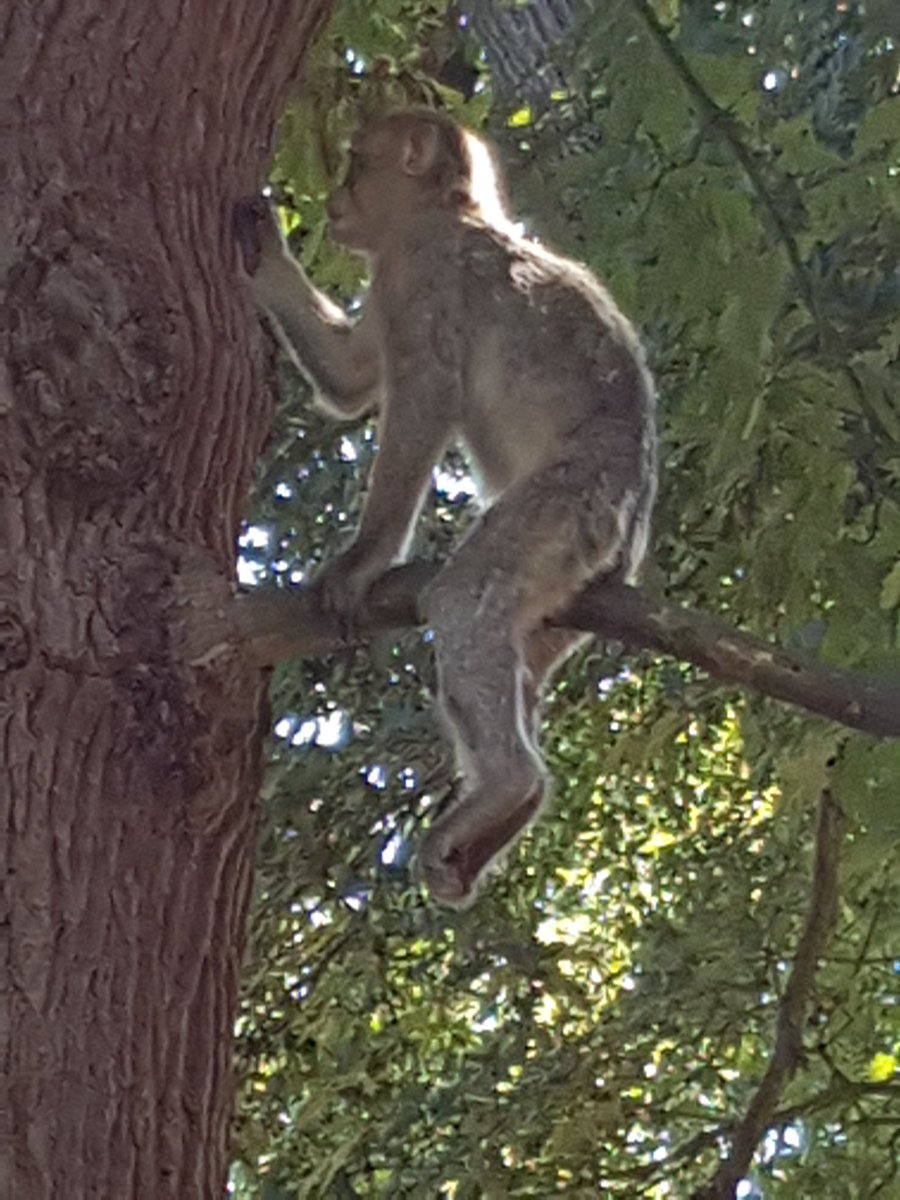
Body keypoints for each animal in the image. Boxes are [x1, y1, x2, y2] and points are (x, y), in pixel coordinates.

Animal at [232, 110, 657, 902]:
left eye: (356, 164)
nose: (335, 199)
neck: (450, 214)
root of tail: (633, 530)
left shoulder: (422, 272)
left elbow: (421, 399)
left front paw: (361, 562)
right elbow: (351, 381)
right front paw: (263, 246)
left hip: (570, 508)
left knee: (466, 598)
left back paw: (508, 783)